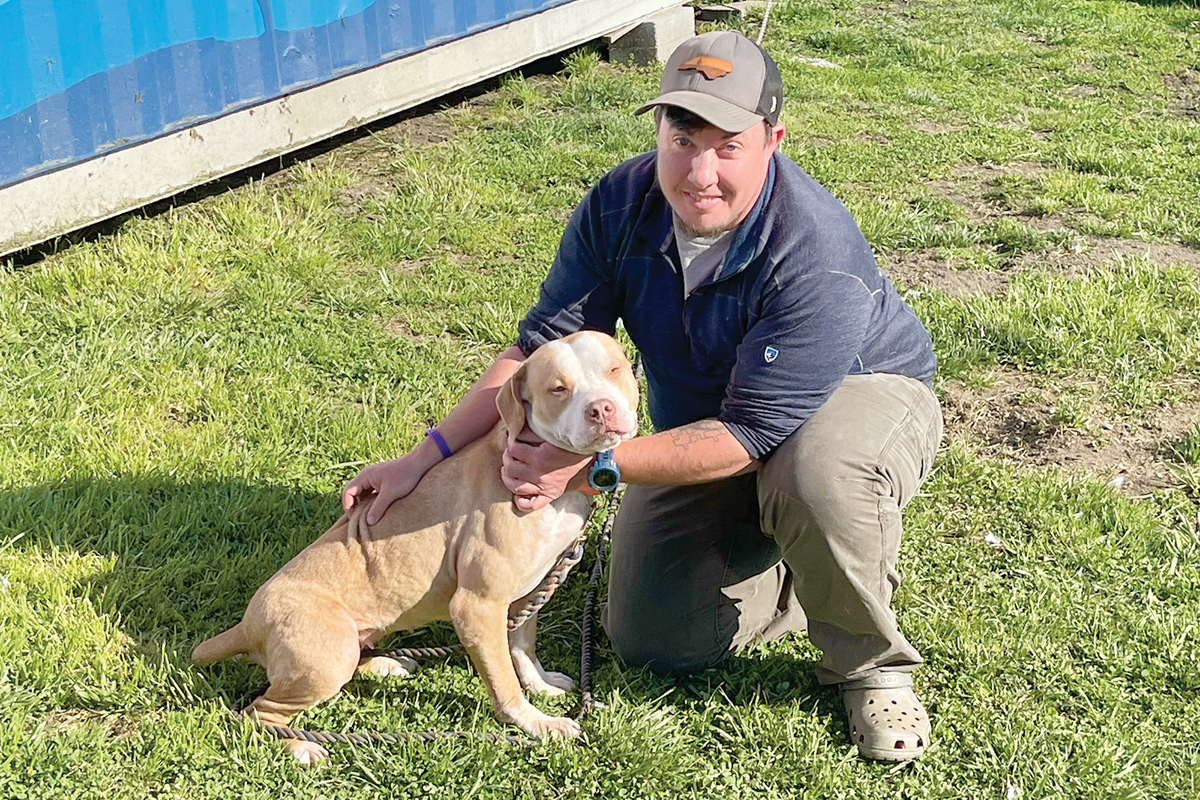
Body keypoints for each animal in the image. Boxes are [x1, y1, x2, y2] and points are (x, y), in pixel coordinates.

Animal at [194, 331, 638, 762]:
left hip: (346, 647)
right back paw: (300, 747)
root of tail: (247, 624)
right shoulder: (479, 606)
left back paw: (385, 666)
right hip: (325, 658)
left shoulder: (529, 592)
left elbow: (523, 648)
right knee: (257, 712)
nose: (601, 409)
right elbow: (504, 683)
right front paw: (538, 724)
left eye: (614, 369)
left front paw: (543, 686)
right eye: (558, 389)